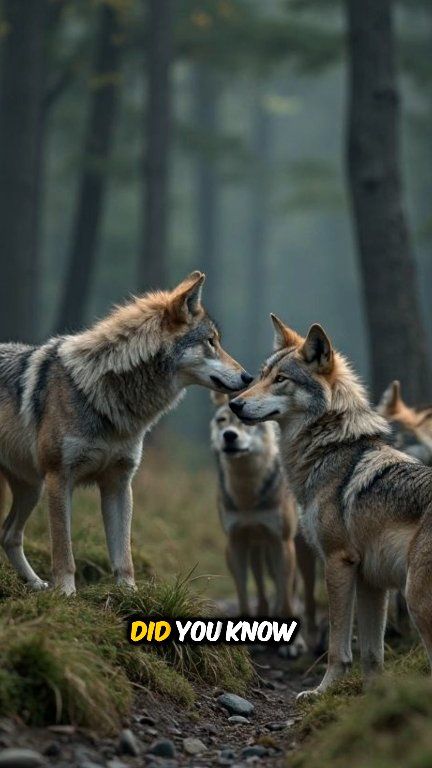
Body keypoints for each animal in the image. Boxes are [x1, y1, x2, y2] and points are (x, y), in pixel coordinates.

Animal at [0, 271, 252, 595]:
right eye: (211, 342)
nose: (249, 377)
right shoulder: (59, 479)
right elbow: (64, 552)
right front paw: (66, 593)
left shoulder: (119, 483)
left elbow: (124, 555)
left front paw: (128, 594)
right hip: (37, 487)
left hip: (31, 488)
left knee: (9, 534)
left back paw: (36, 584)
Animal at [230, 315, 432, 696]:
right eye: (262, 375)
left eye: (281, 379)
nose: (235, 404)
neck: (330, 449)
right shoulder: (371, 581)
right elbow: (372, 653)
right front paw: (374, 698)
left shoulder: (338, 562)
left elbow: (339, 648)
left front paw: (321, 692)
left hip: (416, 599)